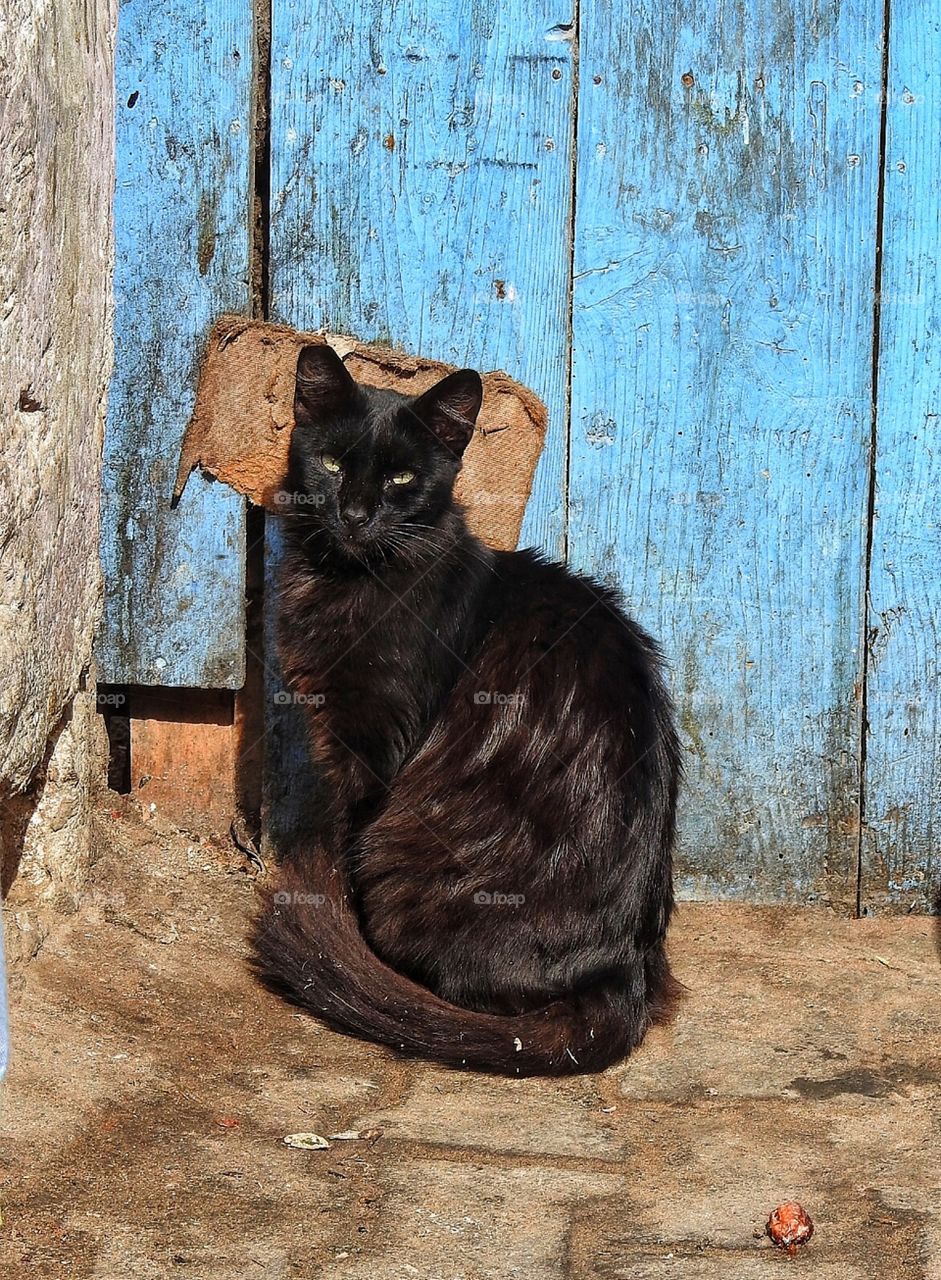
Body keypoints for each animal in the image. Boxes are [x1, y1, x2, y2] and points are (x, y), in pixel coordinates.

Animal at [250, 345, 681, 1075]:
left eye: (400, 477)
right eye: (333, 464)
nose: (356, 512)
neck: (350, 581)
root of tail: (618, 969)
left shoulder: (375, 748)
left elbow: (348, 839)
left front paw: (344, 925)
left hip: (409, 841)